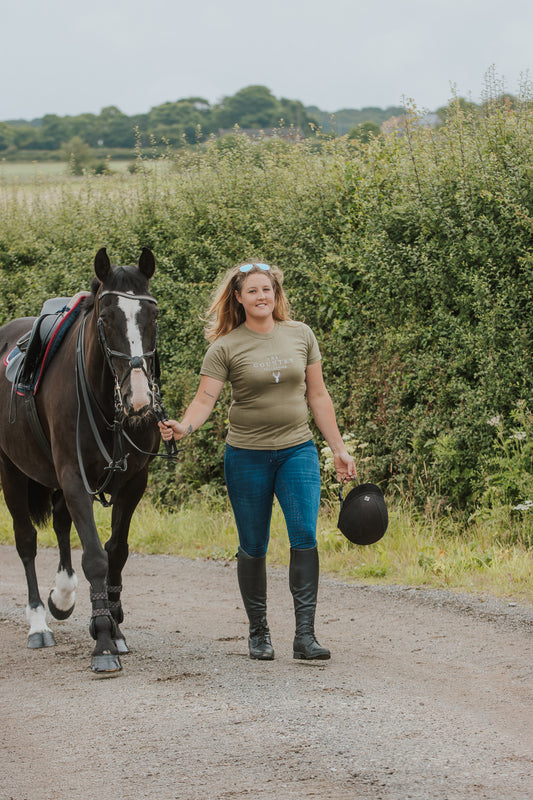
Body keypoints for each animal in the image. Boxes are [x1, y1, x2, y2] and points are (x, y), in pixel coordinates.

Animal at [0, 247, 172, 672]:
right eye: (106, 318)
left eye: (153, 315)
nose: (139, 399)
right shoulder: (73, 476)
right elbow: (95, 556)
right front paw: (104, 641)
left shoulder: (132, 482)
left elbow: (116, 552)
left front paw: (114, 623)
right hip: (12, 472)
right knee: (26, 542)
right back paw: (38, 623)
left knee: (62, 524)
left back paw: (62, 596)